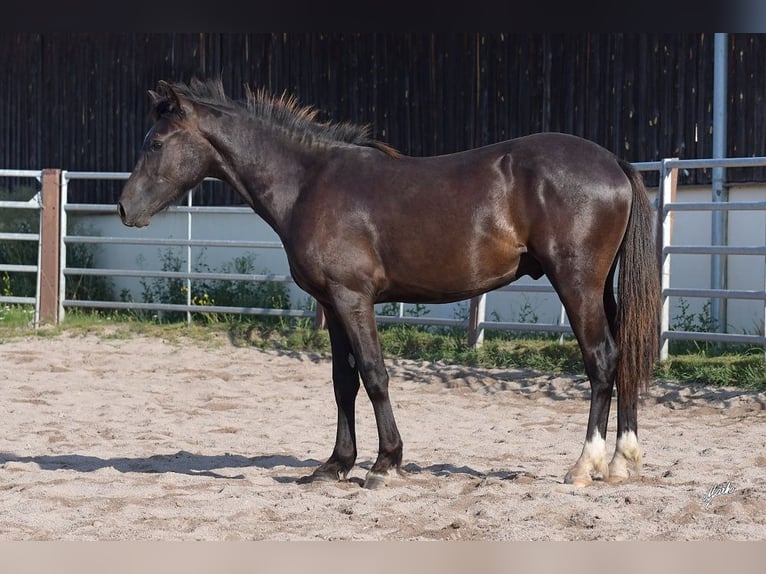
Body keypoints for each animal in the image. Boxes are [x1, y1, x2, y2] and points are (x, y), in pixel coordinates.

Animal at [118, 77, 660, 490]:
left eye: (156, 143)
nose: (124, 208)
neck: (308, 183)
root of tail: (614, 163)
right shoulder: (333, 304)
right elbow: (343, 383)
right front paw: (335, 465)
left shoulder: (353, 298)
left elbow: (375, 375)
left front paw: (384, 464)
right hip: (601, 290)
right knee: (624, 357)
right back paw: (622, 462)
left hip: (577, 286)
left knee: (601, 360)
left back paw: (585, 465)